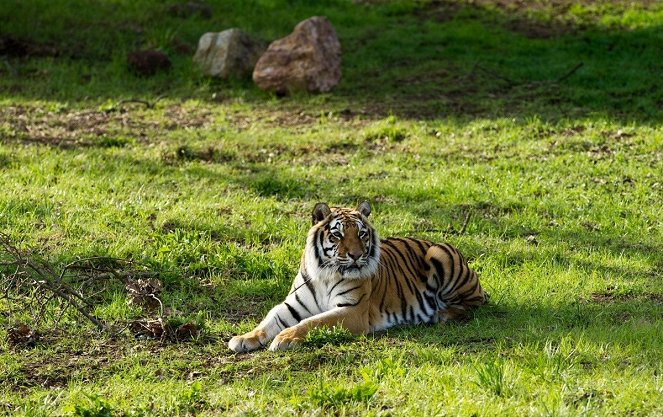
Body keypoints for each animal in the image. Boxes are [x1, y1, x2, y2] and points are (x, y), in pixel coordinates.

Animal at [228, 202, 488, 352]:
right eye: (338, 235)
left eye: (362, 234)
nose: (356, 255)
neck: (325, 274)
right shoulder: (291, 305)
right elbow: (269, 319)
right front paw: (243, 338)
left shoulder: (353, 310)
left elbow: (314, 321)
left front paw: (286, 338)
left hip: (441, 254)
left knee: (475, 303)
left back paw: (441, 315)